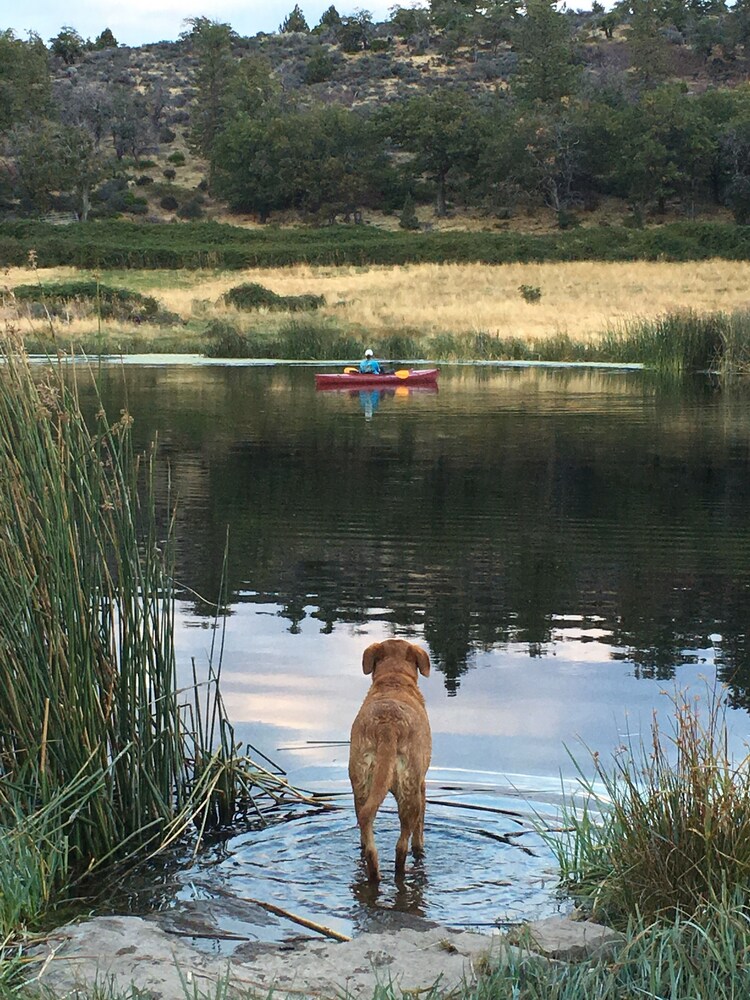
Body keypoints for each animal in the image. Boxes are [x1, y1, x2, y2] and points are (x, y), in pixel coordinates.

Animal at [350, 640, 432, 884]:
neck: (394, 680)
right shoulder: (422, 785)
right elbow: (419, 833)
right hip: (410, 793)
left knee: (367, 839)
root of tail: (387, 728)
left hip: (361, 787)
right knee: (402, 845)